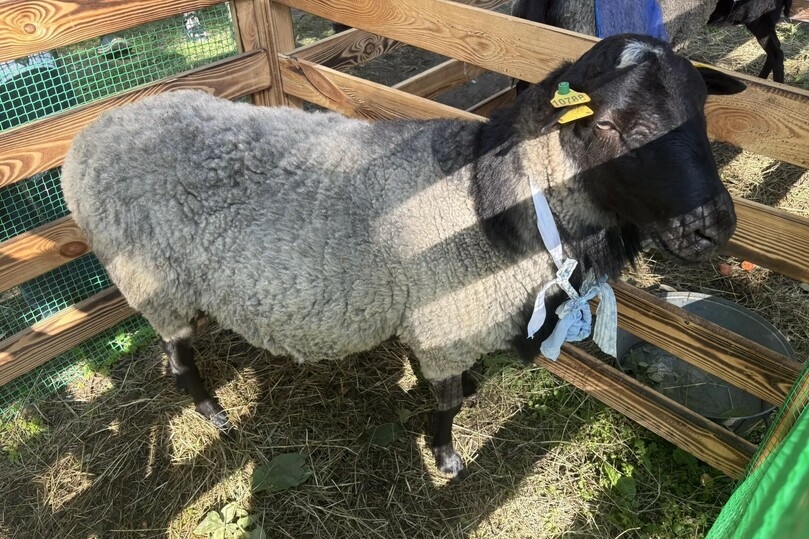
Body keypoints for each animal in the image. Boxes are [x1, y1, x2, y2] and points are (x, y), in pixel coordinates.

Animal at [60, 34, 743, 478]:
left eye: (701, 113)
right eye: (606, 124)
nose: (713, 228)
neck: (491, 201)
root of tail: (90, 135)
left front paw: (470, 390)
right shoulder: (446, 322)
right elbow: (444, 405)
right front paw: (446, 456)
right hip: (153, 281)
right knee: (178, 361)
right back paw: (213, 412)